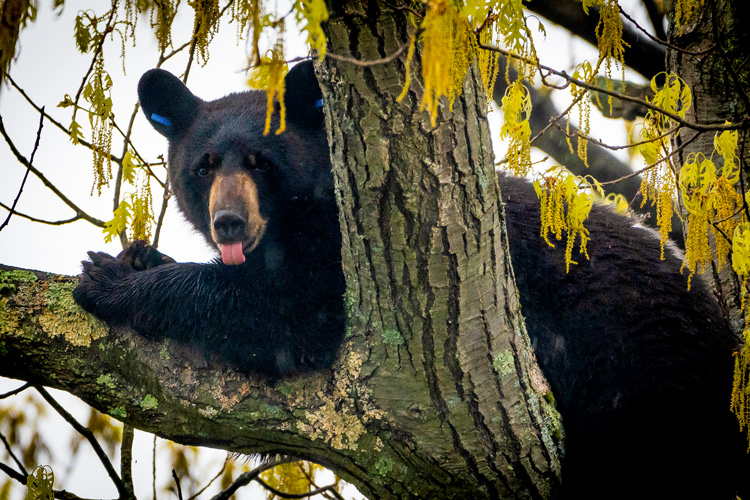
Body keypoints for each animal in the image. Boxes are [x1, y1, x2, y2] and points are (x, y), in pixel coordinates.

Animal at [72, 61, 750, 496]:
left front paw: (108, 280)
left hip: (640, 380)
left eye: (262, 162)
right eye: (204, 165)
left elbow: (286, 314)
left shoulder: (343, 256)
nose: (229, 222)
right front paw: (139, 255)